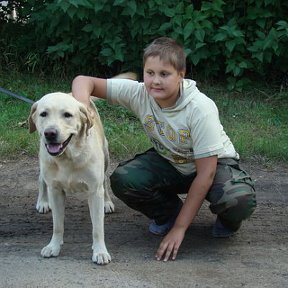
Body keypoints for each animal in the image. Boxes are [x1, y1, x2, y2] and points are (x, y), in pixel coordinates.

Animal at [28, 93, 115, 266]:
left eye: (67, 115)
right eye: (43, 114)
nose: (50, 133)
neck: (68, 157)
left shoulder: (94, 191)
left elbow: (97, 228)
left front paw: (100, 251)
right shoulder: (55, 191)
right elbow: (57, 225)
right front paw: (53, 246)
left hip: (106, 156)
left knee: (104, 180)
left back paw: (107, 202)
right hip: (43, 157)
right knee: (41, 178)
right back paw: (42, 201)